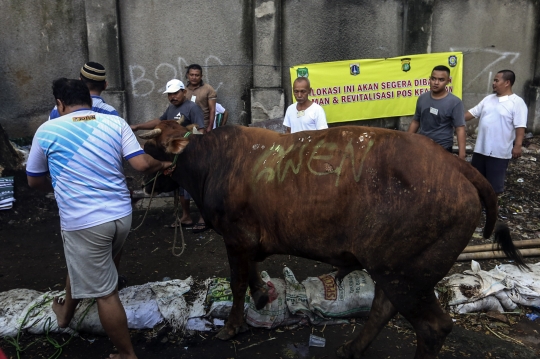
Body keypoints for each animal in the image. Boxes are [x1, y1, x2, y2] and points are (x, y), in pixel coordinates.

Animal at [138, 121, 524, 359]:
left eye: (151, 147)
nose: (139, 174)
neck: (214, 160)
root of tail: (456, 165)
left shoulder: (235, 238)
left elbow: (237, 283)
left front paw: (231, 327)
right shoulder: (249, 242)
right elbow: (251, 276)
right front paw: (262, 296)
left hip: (407, 275)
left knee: (433, 327)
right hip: (393, 269)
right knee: (383, 307)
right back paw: (352, 348)